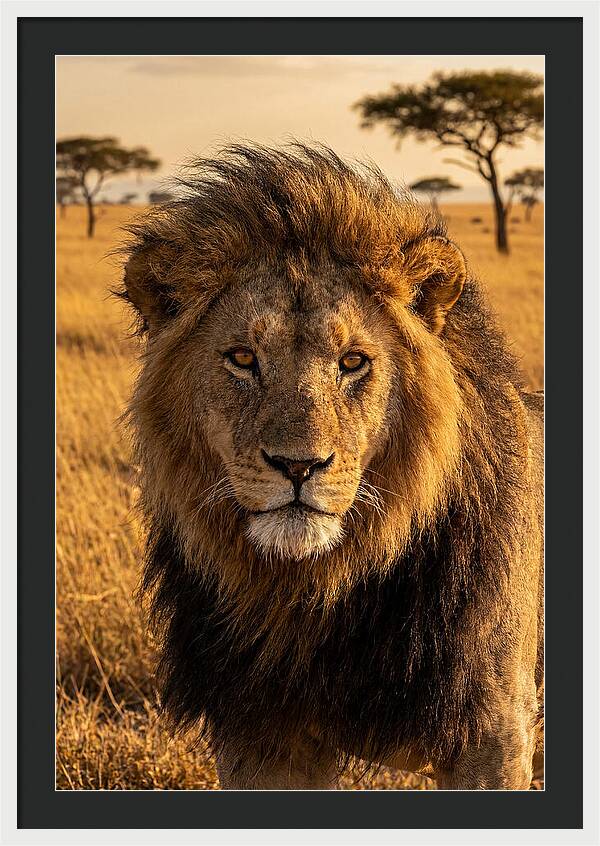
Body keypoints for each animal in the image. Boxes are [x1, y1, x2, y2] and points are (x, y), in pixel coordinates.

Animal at [119, 143, 544, 790]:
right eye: (242, 358)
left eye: (353, 361)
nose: (298, 466)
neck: (316, 592)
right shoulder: (260, 735)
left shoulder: (493, 731)